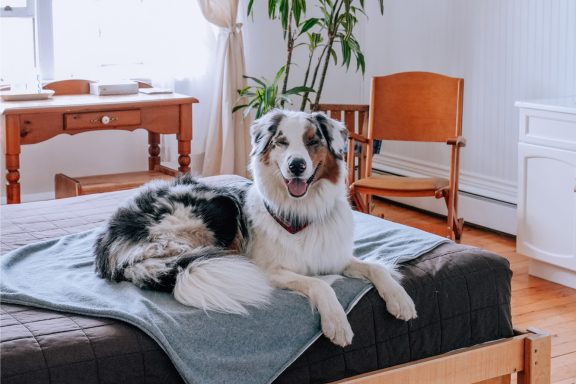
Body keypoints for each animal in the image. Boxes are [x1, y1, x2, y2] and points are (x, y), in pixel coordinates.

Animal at [97, 109, 416, 346]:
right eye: (282, 142)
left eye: (313, 141)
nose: (297, 165)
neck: (301, 212)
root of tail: (109, 243)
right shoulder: (270, 269)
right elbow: (319, 284)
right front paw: (337, 322)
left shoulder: (333, 256)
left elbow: (376, 268)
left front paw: (401, 300)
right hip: (213, 209)